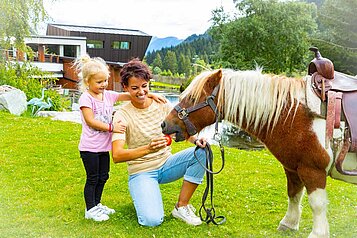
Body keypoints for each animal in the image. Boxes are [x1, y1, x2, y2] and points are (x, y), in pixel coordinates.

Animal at [161, 68, 356, 237]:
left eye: (192, 98)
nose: (164, 124)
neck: (295, 114)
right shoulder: (293, 168)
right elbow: (294, 195)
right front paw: (289, 224)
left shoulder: (313, 170)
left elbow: (317, 204)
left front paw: (318, 234)